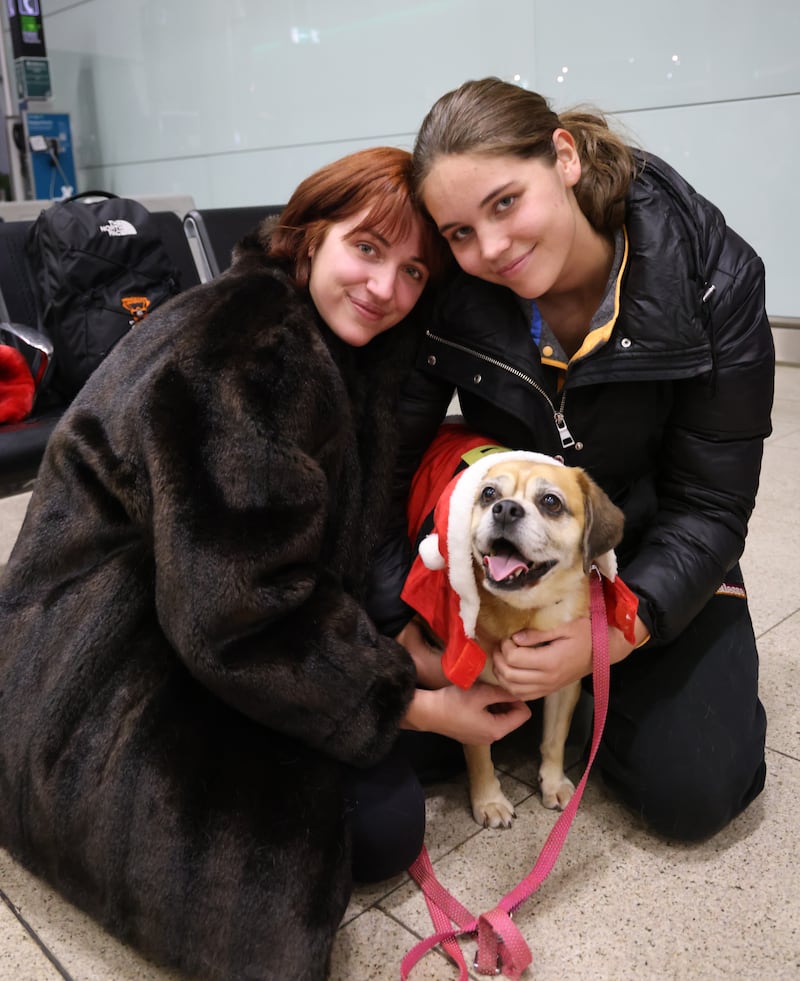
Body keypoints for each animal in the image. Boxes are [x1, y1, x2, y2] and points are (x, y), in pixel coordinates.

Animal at [404, 436, 620, 828]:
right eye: (489, 493)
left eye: (550, 502)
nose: (504, 509)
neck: (523, 612)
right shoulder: (471, 697)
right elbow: (479, 753)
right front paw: (488, 801)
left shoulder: (564, 679)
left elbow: (555, 738)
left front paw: (553, 781)